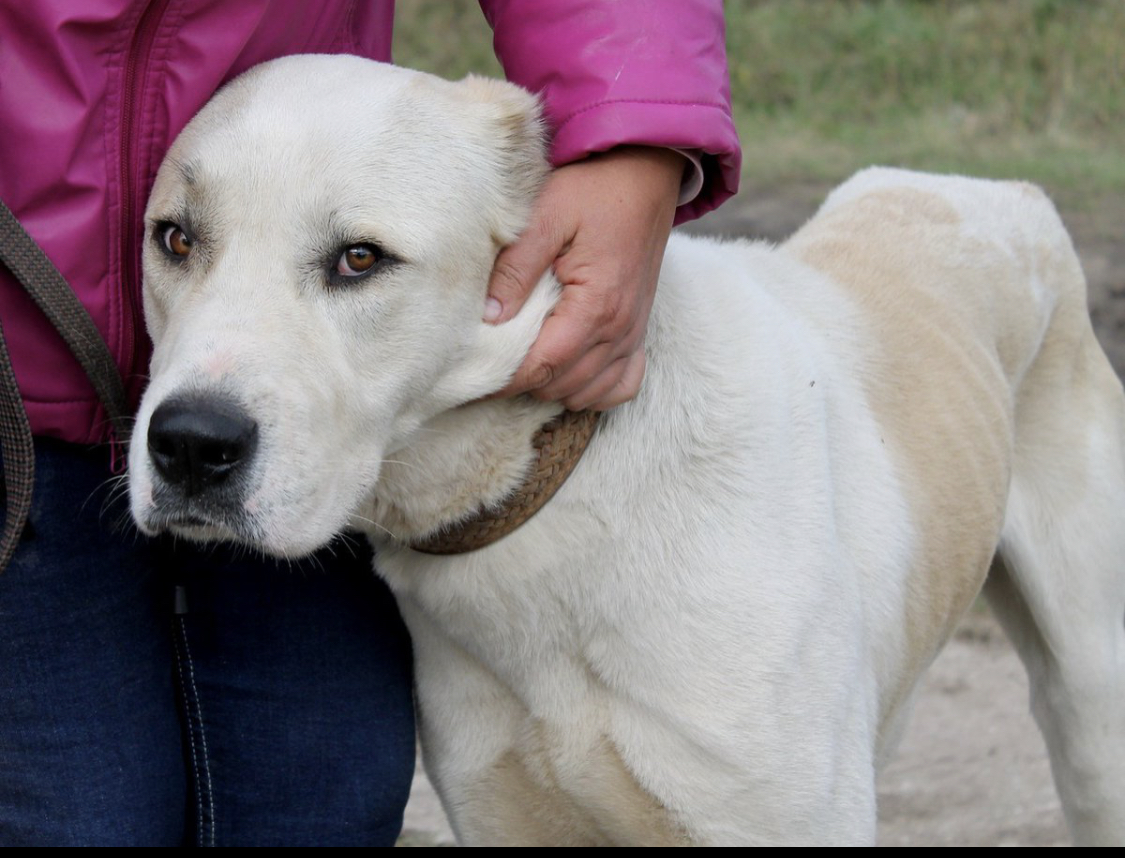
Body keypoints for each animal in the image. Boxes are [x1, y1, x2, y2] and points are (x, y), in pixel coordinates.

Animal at [125, 57, 1125, 850]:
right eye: (175, 238)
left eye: (360, 259)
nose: (190, 447)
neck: (557, 481)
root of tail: (992, 188)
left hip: (1091, 717)